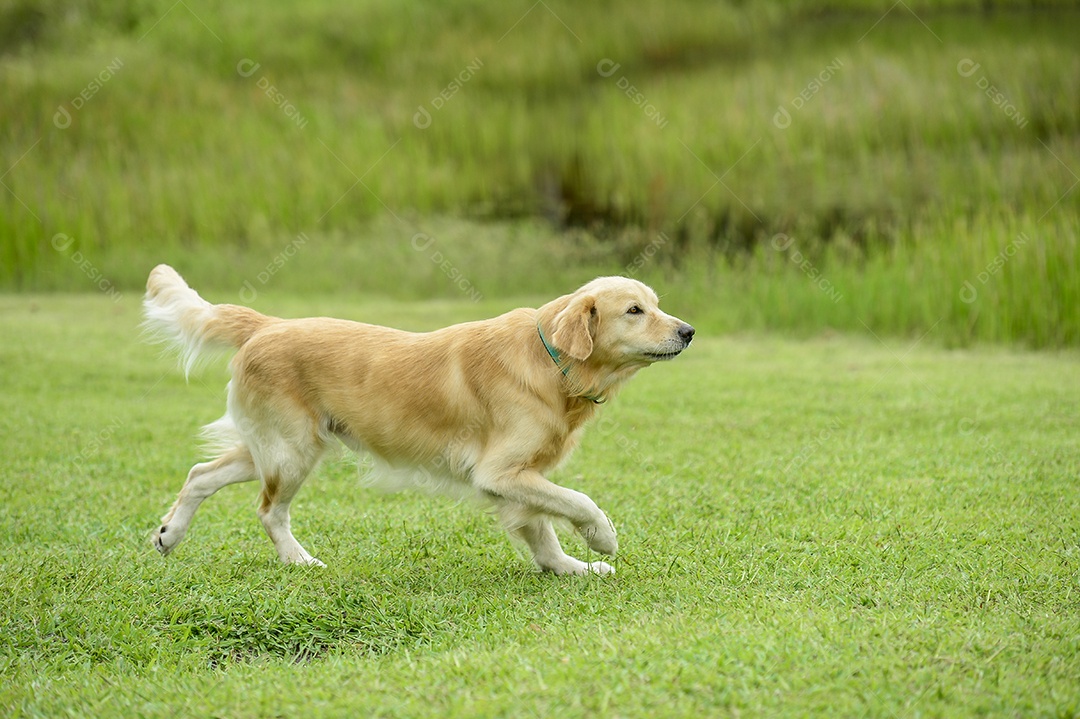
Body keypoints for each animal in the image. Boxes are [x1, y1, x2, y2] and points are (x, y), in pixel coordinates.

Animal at [143, 263, 695, 570]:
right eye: (634, 311)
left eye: (655, 305)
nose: (689, 331)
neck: (550, 361)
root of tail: (267, 324)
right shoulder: (500, 472)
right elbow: (578, 501)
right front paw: (602, 538)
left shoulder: (520, 478)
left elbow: (542, 532)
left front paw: (569, 568)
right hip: (293, 452)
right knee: (268, 511)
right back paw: (299, 560)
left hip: (272, 446)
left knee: (200, 474)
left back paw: (169, 534)